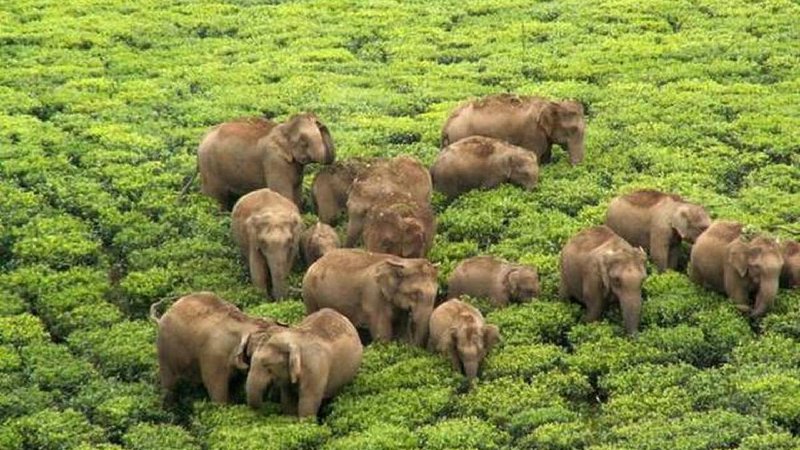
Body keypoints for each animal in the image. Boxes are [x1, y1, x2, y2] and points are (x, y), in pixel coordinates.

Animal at [150, 292, 286, 404]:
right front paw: (222, 408)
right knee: (169, 382)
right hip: (164, 348)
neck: (248, 324)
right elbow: (215, 387)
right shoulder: (214, 357)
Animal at [182, 113, 335, 210]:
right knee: (216, 199)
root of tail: (201, 140)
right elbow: (282, 194)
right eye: (304, 142)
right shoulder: (274, 161)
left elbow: (297, 196)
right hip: (210, 169)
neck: (283, 127)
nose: (319, 123)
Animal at [302, 249, 438, 347]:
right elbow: (382, 333)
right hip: (309, 292)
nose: (413, 348)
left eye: (436, 293)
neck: (400, 262)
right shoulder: (373, 295)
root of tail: (316, 262)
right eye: (415, 294)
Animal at [441, 94, 586, 166]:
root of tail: (446, 126)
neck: (550, 103)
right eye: (573, 129)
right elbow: (536, 156)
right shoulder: (532, 134)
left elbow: (546, 155)